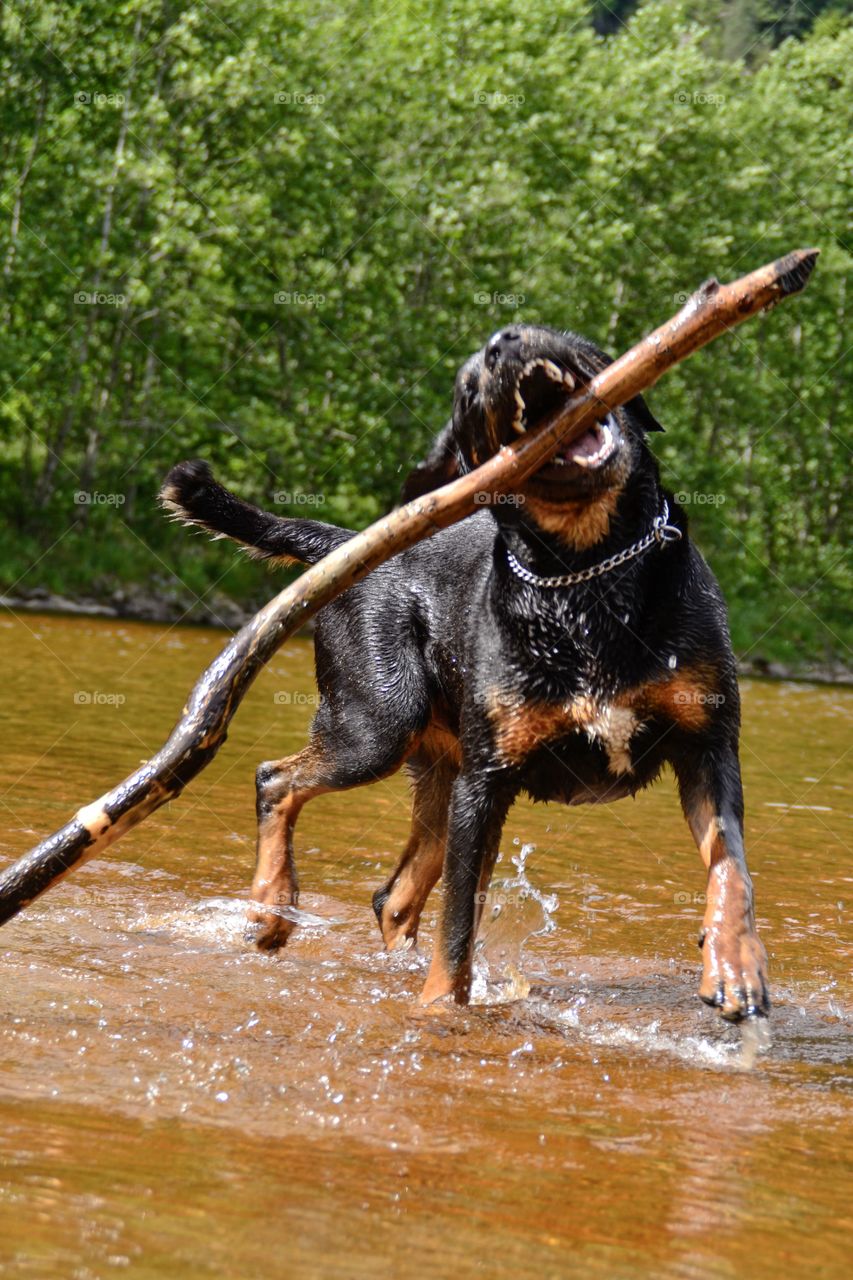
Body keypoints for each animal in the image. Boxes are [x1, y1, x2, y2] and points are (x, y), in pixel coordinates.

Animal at [159, 327, 763, 1018]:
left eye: (563, 335)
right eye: (467, 388)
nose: (505, 340)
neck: (587, 571)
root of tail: (346, 543)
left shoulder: (708, 747)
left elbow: (732, 870)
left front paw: (735, 967)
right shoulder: (487, 780)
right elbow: (457, 927)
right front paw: (439, 1012)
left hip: (439, 769)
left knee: (393, 896)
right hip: (379, 724)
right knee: (277, 780)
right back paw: (271, 909)